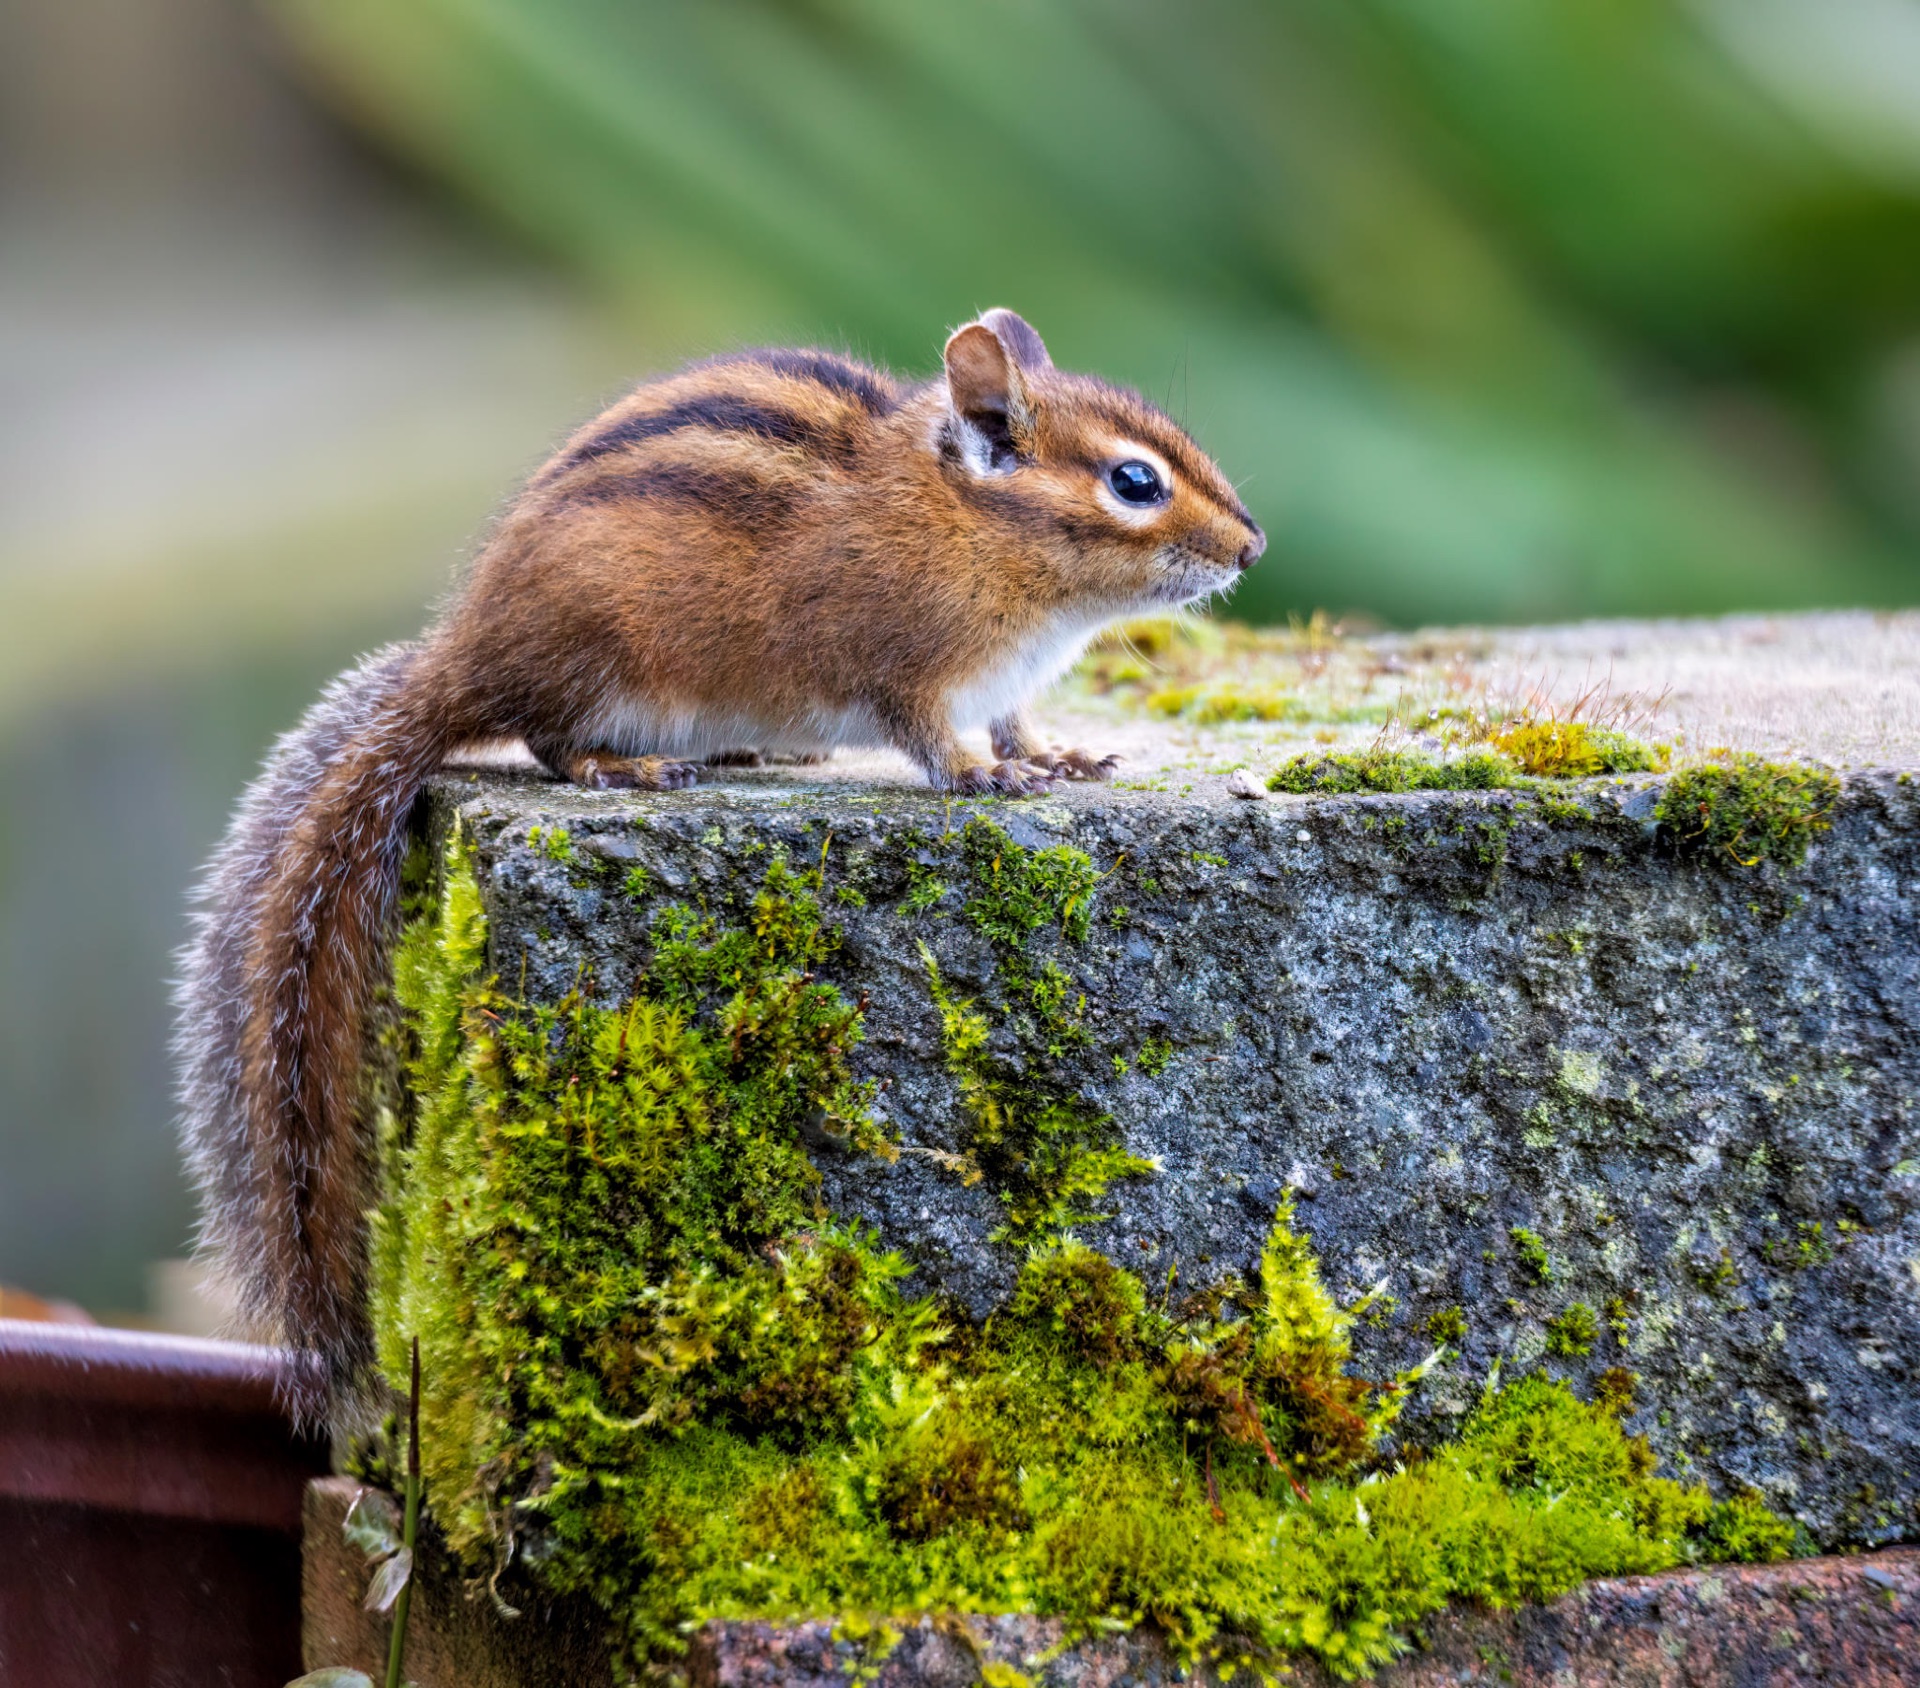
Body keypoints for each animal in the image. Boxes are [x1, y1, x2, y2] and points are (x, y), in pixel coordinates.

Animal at [174, 308, 1263, 1418]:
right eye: (1135, 482)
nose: (1252, 543)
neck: (969, 521)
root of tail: (459, 655)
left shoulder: (1001, 684)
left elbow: (1017, 722)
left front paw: (1058, 756)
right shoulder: (906, 671)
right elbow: (936, 740)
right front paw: (981, 776)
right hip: (599, 662)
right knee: (547, 740)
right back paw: (626, 764)